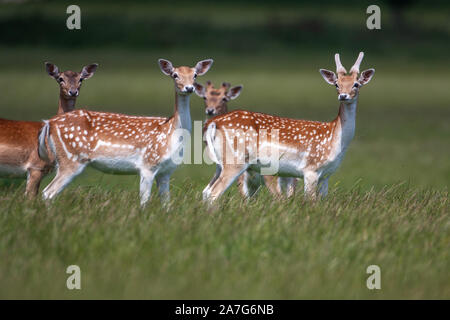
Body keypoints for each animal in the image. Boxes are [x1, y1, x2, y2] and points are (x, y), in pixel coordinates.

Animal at [38, 58, 213, 206]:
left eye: (195, 75)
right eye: (175, 75)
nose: (189, 88)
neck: (170, 131)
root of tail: (50, 123)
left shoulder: (166, 171)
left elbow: (166, 204)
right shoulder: (148, 165)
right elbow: (144, 201)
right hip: (71, 159)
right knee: (47, 193)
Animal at [202, 52, 374, 202]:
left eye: (356, 84)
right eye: (337, 84)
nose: (343, 96)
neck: (334, 139)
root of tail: (212, 123)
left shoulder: (326, 176)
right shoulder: (310, 170)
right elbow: (311, 202)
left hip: (221, 163)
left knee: (205, 191)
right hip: (236, 160)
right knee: (214, 193)